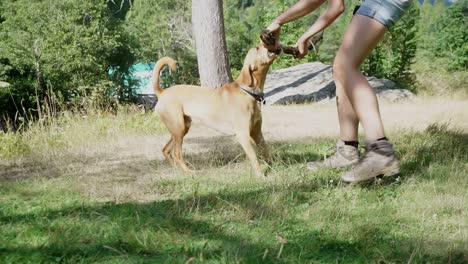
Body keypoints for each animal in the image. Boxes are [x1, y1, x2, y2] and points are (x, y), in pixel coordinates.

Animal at [154, 44, 278, 177]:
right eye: (257, 48)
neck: (248, 92)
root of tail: (162, 92)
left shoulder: (257, 132)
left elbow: (266, 151)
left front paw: (273, 168)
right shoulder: (243, 134)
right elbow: (254, 157)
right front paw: (261, 176)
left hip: (181, 128)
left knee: (166, 150)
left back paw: (177, 171)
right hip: (178, 128)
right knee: (176, 154)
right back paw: (189, 172)